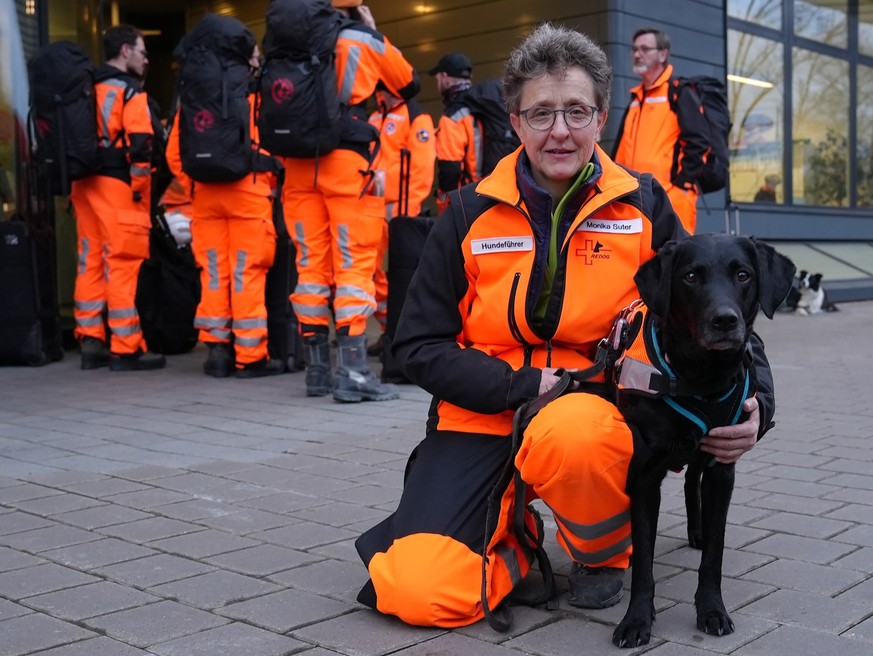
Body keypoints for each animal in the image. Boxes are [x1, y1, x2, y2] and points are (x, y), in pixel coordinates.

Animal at [608, 233, 792, 648]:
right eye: (690, 277)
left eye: (743, 275)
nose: (725, 320)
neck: (699, 377)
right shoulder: (644, 475)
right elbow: (644, 560)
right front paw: (636, 619)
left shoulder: (723, 467)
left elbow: (715, 556)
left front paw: (712, 610)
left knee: (693, 481)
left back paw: (698, 532)